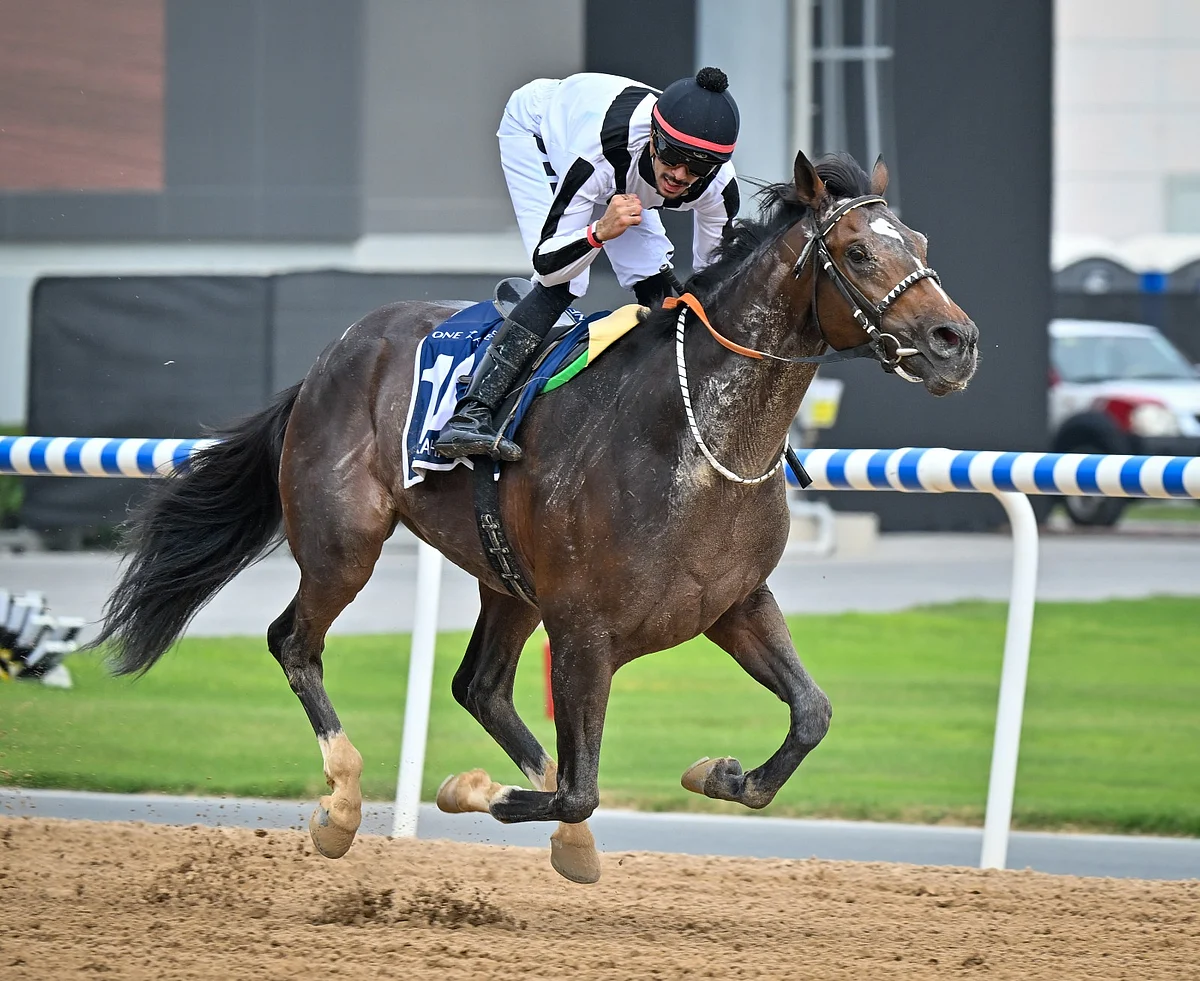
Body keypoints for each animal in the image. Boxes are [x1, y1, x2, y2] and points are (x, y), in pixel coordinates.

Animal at [93, 150, 978, 884]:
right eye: (859, 252)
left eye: (922, 241)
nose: (955, 339)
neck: (691, 434)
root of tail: (329, 357)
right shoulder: (584, 629)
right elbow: (582, 786)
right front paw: (473, 791)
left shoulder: (732, 602)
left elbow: (811, 714)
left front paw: (721, 772)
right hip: (344, 541)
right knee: (293, 641)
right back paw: (341, 805)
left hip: (507, 578)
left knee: (478, 685)